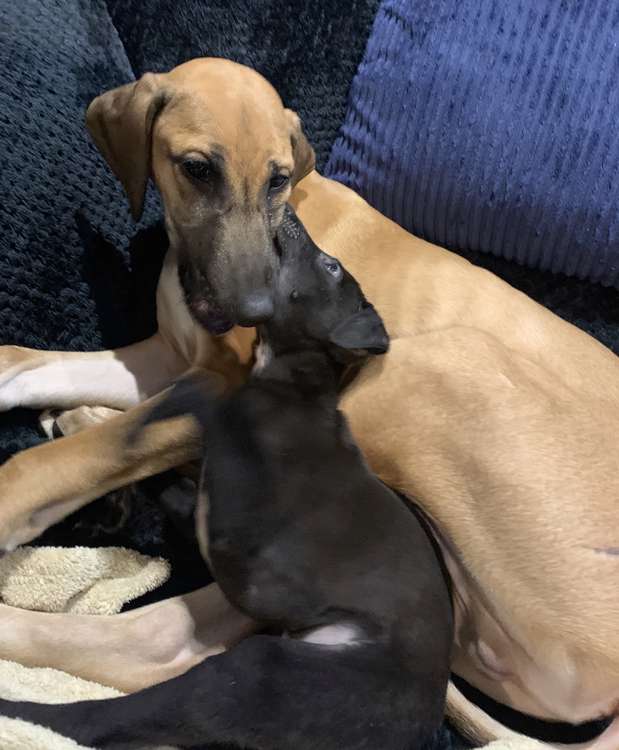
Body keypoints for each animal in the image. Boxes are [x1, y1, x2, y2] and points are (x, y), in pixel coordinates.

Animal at [1, 209, 456, 748]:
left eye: (331, 266)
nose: (290, 214)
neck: (289, 389)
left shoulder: (245, 555)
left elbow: (163, 435)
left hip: (259, 670)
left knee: (111, 711)